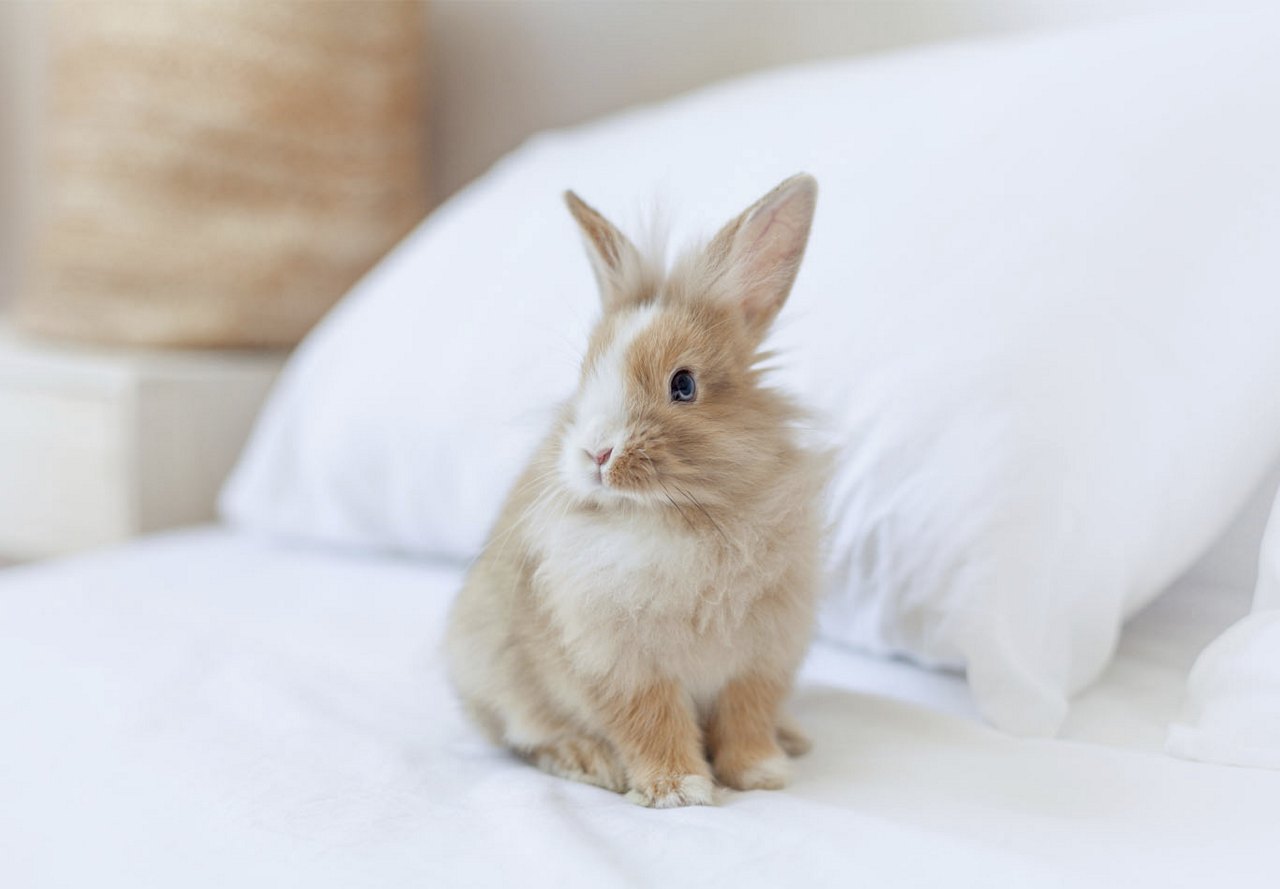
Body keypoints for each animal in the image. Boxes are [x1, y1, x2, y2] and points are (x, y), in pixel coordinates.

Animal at [448, 172, 829, 808]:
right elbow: (651, 722)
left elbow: (746, 716)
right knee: (528, 734)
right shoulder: (621, 663)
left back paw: (795, 737)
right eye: (584, 379)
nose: (596, 454)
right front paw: (679, 790)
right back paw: (588, 761)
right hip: (499, 670)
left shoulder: (759, 658)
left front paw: (761, 773)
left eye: (684, 385)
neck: (677, 520)